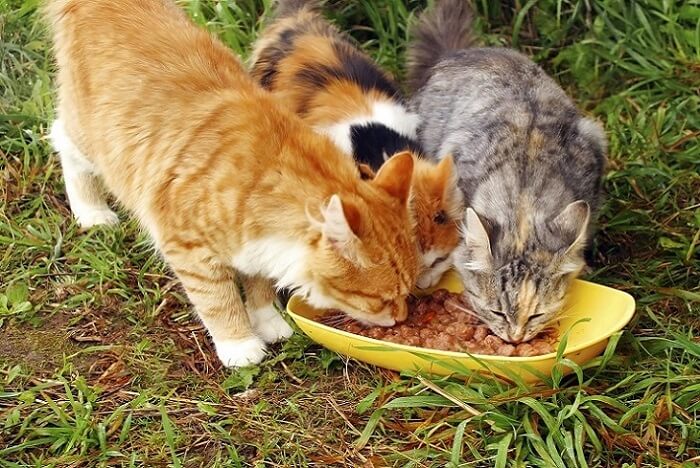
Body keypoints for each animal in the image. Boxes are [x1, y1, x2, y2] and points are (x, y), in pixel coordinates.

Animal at [46, 0, 418, 368]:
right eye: (382, 299)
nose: (401, 319)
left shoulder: (254, 243)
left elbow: (259, 284)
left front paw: (268, 321)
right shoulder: (188, 247)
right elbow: (217, 300)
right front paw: (240, 345)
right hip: (93, 140)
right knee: (61, 137)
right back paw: (92, 212)